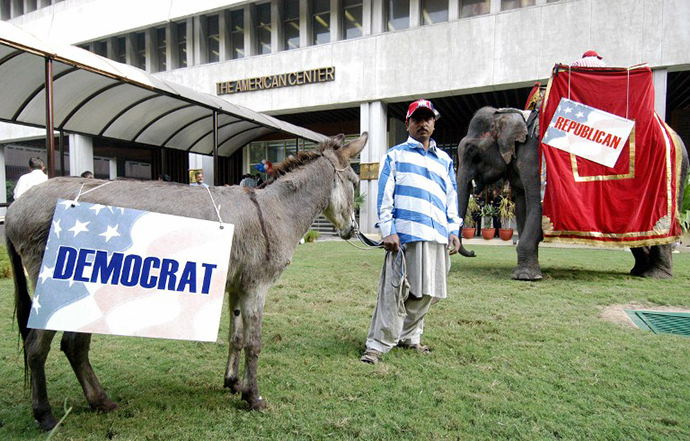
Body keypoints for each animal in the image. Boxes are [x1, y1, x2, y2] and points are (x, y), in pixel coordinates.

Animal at [454, 105, 684, 280]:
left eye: (472, 151)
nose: (473, 252)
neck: (513, 115)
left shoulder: (534, 159)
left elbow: (538, 204)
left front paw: (525, 276)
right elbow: (522, 206)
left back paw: (656, 275)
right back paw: (638, 271)